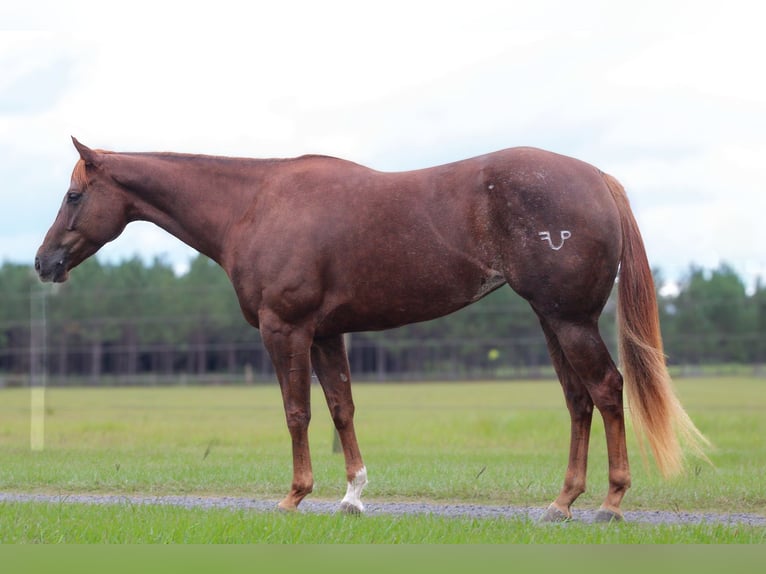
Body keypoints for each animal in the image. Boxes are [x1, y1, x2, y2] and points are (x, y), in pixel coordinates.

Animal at [36, 137, 708, 524]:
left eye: (73, 195)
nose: (44, 263)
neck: (255, 204)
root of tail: (599, 179)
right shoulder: (327, 333)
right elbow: (341, 409)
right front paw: (353, 496)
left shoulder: (286, 330)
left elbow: (298, 412)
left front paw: (295, 496)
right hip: (553, 320)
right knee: (577, 401)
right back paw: (562, 502)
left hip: (569, 321)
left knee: (607, 391)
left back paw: (612, 502)